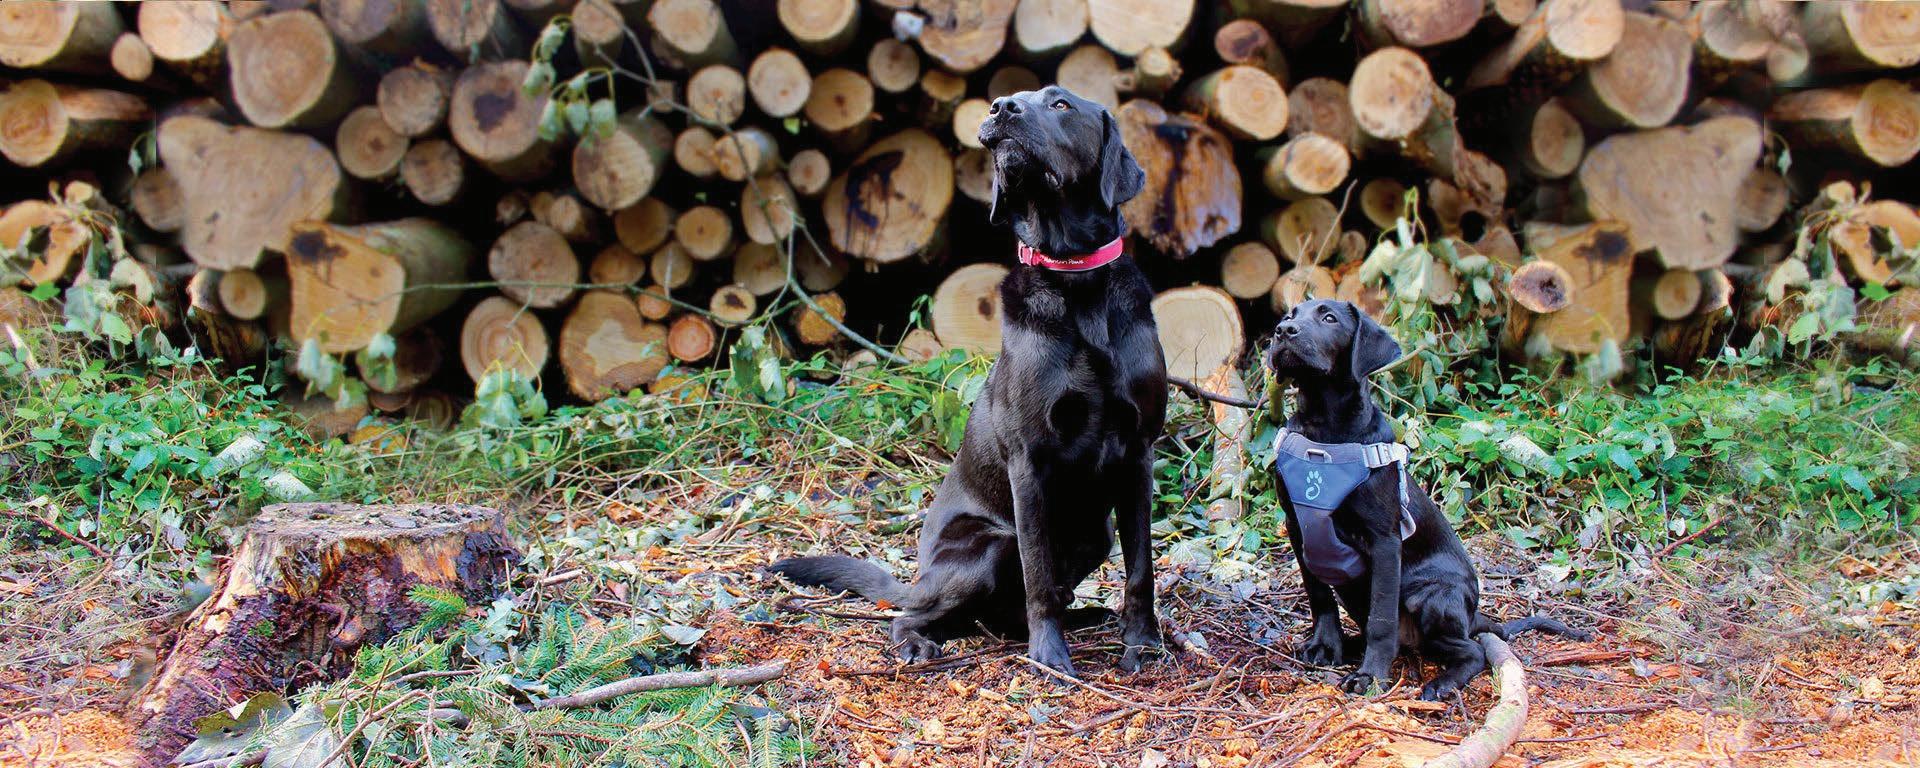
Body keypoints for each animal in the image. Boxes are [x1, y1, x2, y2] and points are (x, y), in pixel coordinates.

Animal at [769, 86, 1166, 677]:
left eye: (1061, 104)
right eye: (1018, 99)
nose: (1002, 107)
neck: (1076, 281)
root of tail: (918, 576)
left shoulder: (1138, 451)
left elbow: (1142, 568)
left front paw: (1143, 643)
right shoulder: (1030, 458)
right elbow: (1038, 573)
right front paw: (1050, 659)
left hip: (1094, 532)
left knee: (1005, 614)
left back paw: (1086, 617)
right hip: (989, 546)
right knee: (912, 616)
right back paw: (920, 644)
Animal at [1265, 298, 1588, 701]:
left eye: (1329, 318)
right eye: (1289, 316)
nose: (1282, 331)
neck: (1324, 429)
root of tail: (1473, 617)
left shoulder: (1385, 541)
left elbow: (1382, 619)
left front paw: (1370, 677)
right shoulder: (1299, 528)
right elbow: (1319, 597)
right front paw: (1325, 646)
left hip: (1433, 595)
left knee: (1473, 651)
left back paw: (1440, 683)